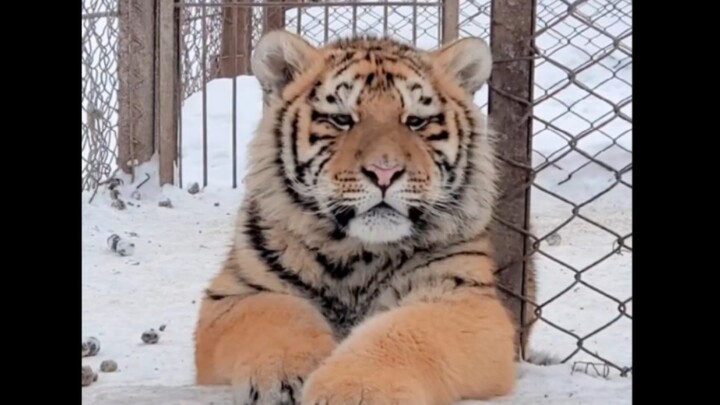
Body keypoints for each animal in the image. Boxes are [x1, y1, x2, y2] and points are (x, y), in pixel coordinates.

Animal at [194, 29, 539, 405]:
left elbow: (405, 331)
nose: (384, 172)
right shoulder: (234, 295)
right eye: (341, 119)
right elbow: (278, 316)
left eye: (415, 121)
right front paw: (280, 379)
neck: (354, 253)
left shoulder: (466, 300)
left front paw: (354, 390)